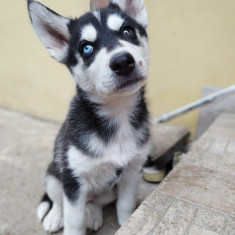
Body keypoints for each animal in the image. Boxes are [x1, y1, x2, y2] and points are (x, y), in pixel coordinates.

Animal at [28, 0, 151, 234]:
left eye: (127, 31)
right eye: (87, 48)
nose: (123, 61)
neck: (117, 113)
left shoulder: (131, 172)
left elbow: (125, 205)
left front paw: (126, 223)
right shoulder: (74, 182)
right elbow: (74, 221)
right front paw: (67, 222)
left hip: (107, 190)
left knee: (95, 202)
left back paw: (93, 215)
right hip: (54, 176)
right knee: (58, 201)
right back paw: (54, 217)